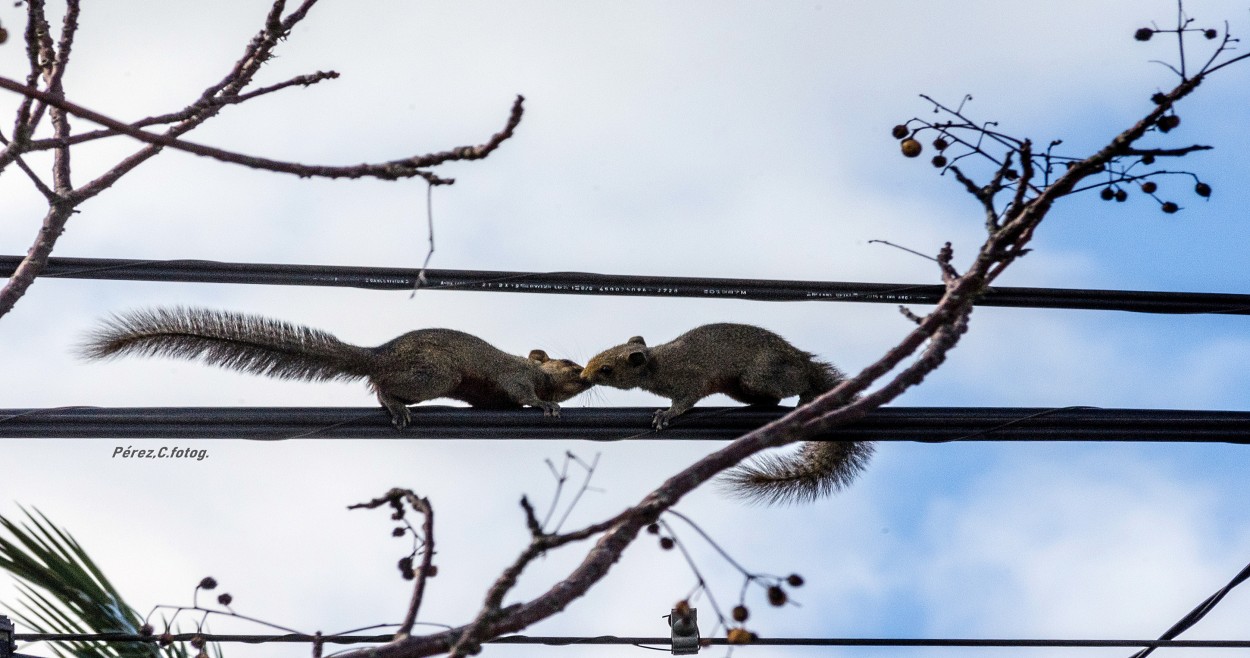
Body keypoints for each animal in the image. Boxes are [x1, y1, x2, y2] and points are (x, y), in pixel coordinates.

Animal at [582, 322, 870, 505]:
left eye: (606, 369)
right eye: (599, 354)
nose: (584, 376)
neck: (656, 365)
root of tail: (804, 361)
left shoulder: (689, 380)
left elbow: (684, 401)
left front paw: (666, 415)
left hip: (761, 376)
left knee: (798, 384)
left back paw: (806, 397)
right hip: (741, 388)